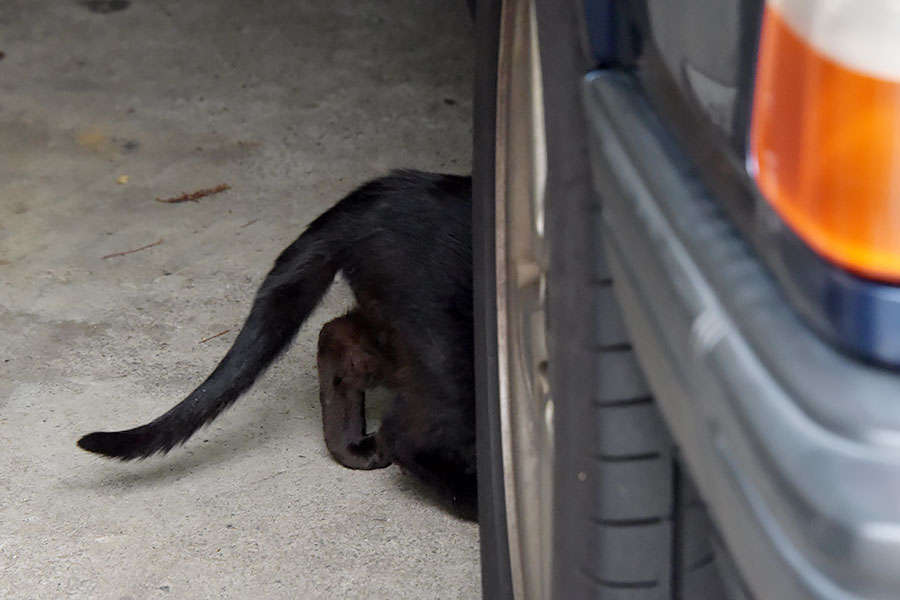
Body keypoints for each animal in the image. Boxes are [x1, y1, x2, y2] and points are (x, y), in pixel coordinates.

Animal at [77, 172, 478, 516]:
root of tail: (379, 193)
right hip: (447, 351)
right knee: (406, 435)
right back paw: (473, 500)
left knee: (338, 338)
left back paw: (353, 448)